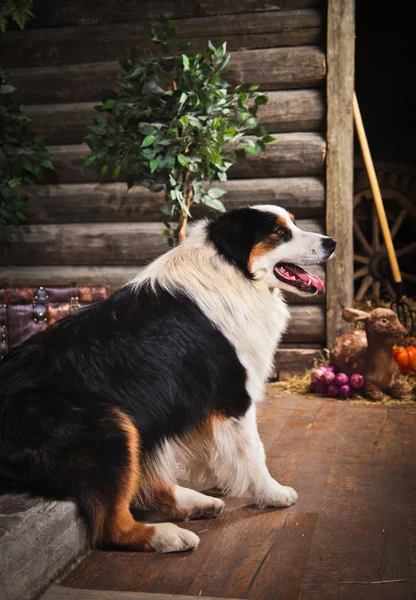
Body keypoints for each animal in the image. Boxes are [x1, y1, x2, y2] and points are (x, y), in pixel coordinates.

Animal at [0, 205, 334, 552]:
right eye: (280, 233)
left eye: (293, 223)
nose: (332, 242)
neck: (232, 272)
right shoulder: (234, 398)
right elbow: (254, 451)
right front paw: (272, 493)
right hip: (112, 425)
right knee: (111, 527)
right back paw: (171, 536)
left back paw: (197, 503)